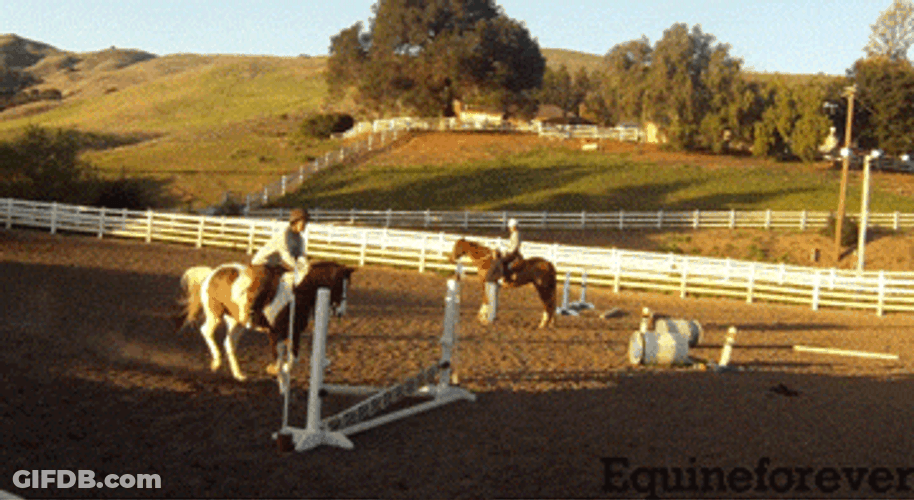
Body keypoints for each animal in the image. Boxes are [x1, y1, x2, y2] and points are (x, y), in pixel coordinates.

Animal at [176, 260, 355, 381]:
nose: (341, 312)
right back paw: (217, 362)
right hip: (215, 315)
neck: (296, 294)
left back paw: (239, 374)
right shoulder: (274, 333)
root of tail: (212, 273)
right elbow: (279, 356)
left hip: (237, 322)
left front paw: (279, 369)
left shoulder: (294, 332)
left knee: (229, 343)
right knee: (206, 331)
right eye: (340, 285)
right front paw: (275, 369)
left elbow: (294, 358)